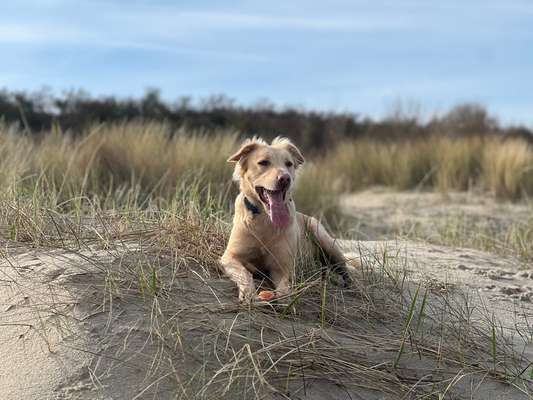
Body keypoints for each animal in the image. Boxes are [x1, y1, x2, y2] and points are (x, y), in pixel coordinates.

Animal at [220, 136, 354, 302]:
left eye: (289, 164)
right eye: (263, 162)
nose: (285, 178)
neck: (265, 218)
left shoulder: (282, 267)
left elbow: (285, 287)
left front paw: (285, 299)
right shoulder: (229, 257)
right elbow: (244, 273)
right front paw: (248, 292)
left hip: (324, 239)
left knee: (345, 270)